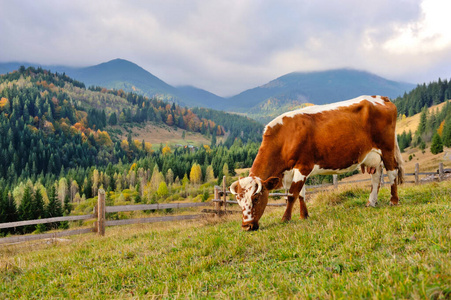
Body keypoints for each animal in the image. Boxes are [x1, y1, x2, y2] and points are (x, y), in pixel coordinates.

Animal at [231, 95, 404, 231]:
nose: (246, 226)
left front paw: (285, 218)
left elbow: (292, 195)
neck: (284, 138)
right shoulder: (294, 171)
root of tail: (379, 98)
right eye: (238, 201)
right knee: (376, 177)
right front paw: (304, 215)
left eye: (255, 198)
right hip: (372, 155)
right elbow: (301, 194)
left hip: (387, 148)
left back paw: (393, 201)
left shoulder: (303, 166)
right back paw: (371, 202)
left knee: (392, 172)